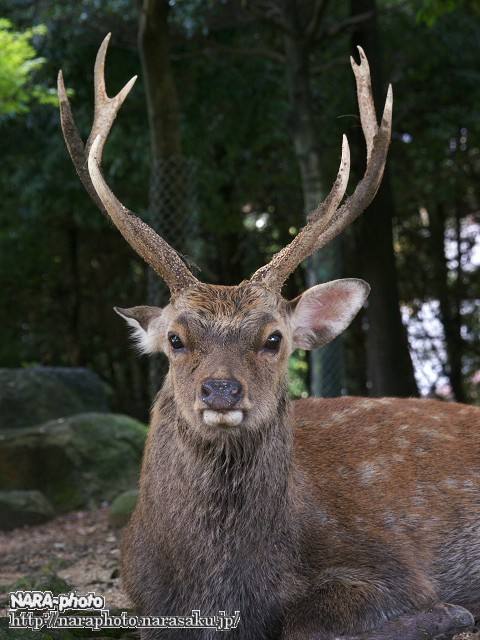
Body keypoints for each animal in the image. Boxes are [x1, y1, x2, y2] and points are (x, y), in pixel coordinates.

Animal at [57, 34, 480, 640]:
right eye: (176, 339)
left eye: (274, 339)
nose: (221, 390)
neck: (220, 592)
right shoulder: (143, 599)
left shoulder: (395, 565)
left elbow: (305, 623)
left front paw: (449, 613)